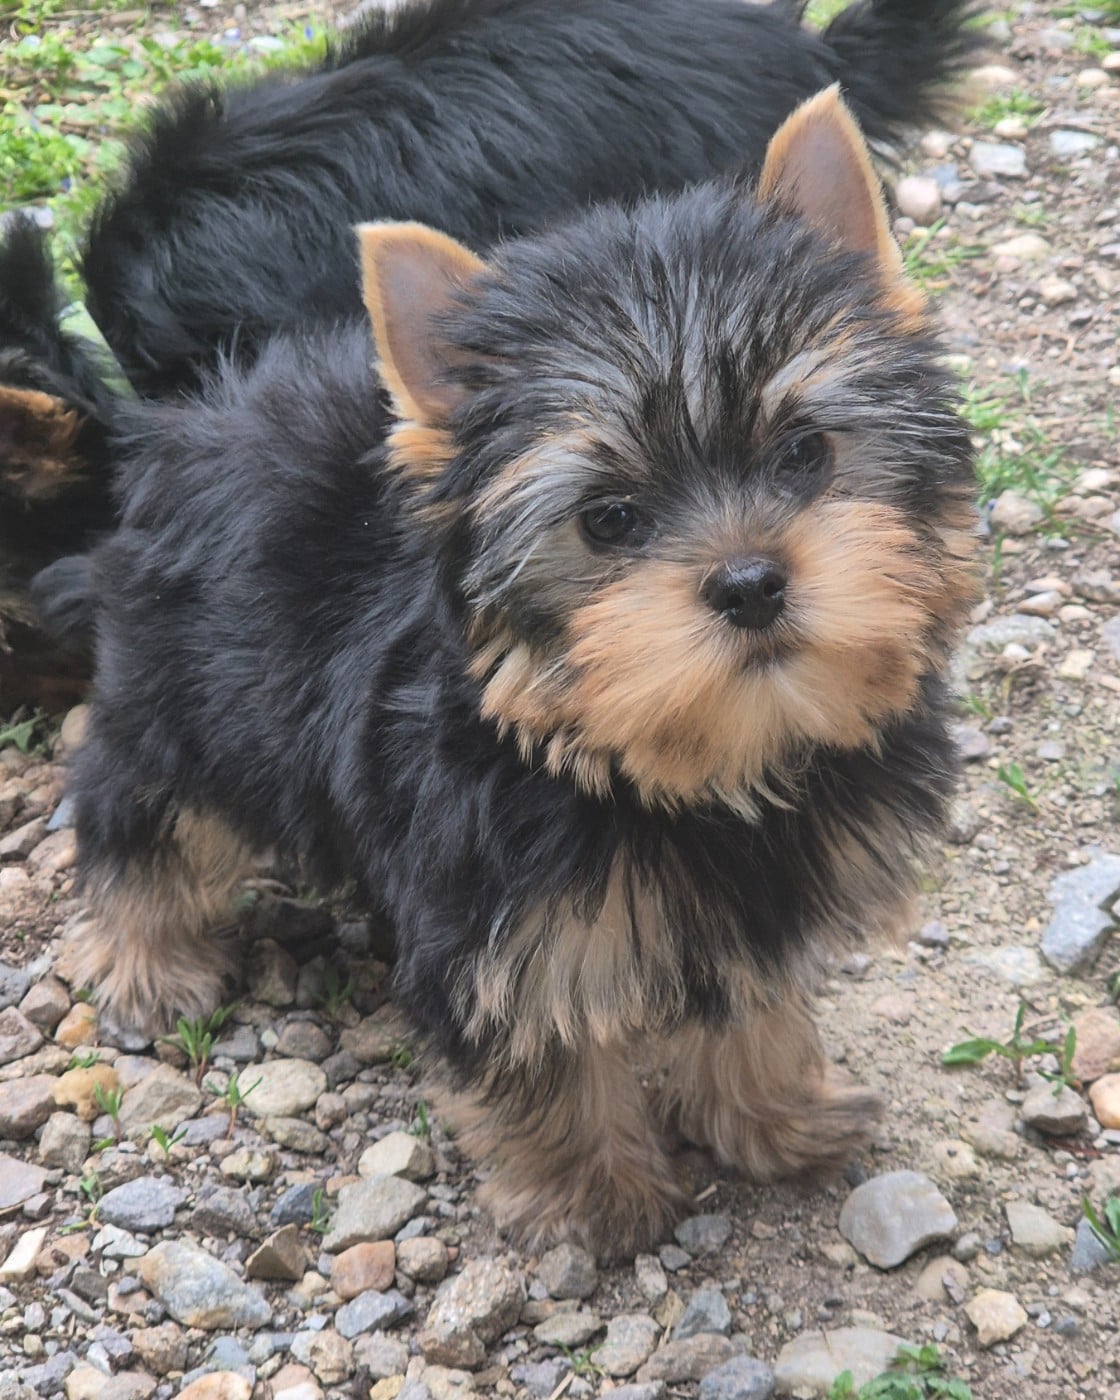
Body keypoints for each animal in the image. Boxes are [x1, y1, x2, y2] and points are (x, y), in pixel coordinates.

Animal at [64, 89, 977, 1254]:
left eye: (804, 452)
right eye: (609, 519)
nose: (748, 583)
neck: (703, 766)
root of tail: (202, 409)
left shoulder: (750, 902)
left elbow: (750, 1002)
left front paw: (774, 1112)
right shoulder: (500, 920)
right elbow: (542, 1053)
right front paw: (598, 1197)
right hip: (188, 689)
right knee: (144, 808)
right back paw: (149, 956)